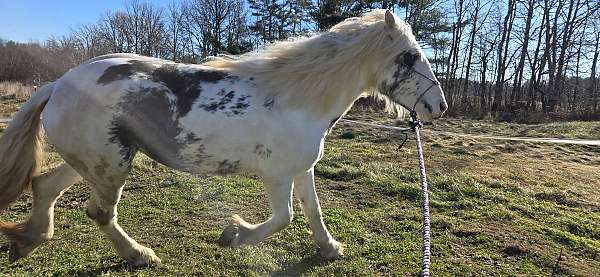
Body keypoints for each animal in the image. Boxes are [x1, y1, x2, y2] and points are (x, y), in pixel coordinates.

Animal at [0, 10, 446, 266]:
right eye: (410, 57)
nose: (438, 106)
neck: (297, 100)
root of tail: (57, 84)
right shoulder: (276, 175)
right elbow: (283, 218)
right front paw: (233, 235)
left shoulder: (301, 169)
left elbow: (312, 212)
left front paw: (330, 249)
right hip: (111, 164)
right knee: (99, 212)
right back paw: (140, 255)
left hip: (95, 161)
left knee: (45, 185)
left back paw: (27, 241)